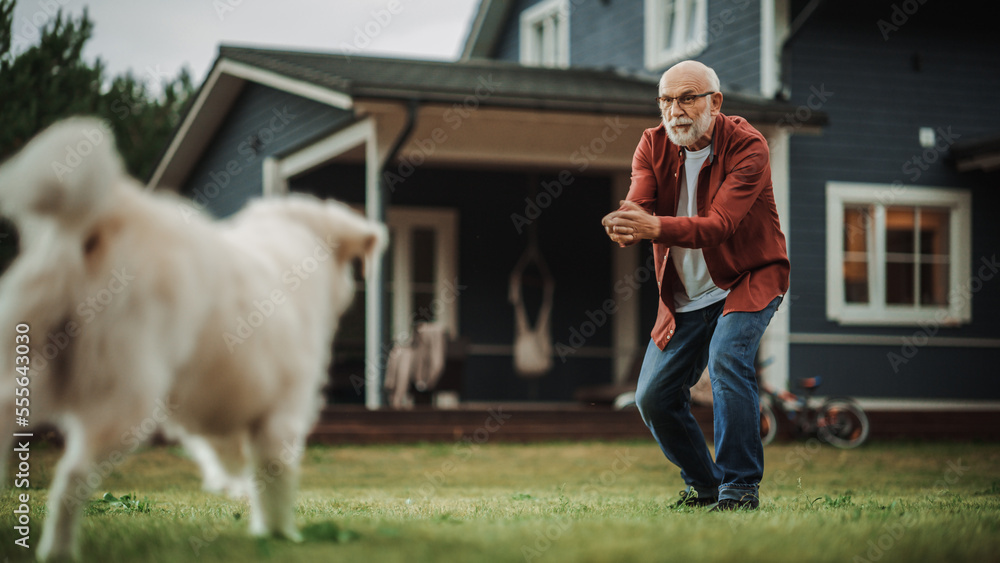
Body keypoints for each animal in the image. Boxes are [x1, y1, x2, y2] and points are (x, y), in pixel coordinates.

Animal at [0, 118, 386, 560]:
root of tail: (111, 215)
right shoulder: (281, 413)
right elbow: (275, 481)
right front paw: (280, 534)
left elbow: (235, 460)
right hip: (125, 399)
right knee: (71, 478)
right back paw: (60, 551)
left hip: (32, 369)